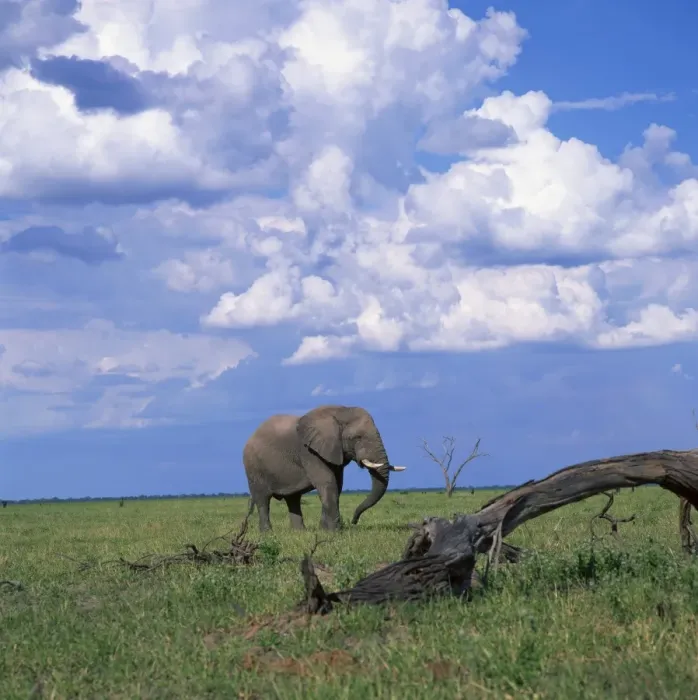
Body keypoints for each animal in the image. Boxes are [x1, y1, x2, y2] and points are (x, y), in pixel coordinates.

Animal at [242, 404, 406, 532]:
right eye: (357, 438)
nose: (353, 521)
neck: (339, 411)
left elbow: (337, 485)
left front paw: (324, 530)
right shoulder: (309, 452)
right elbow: (328, 483)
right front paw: (335, 532)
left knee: (293, 499)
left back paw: (300, 533)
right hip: (253, 467)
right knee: (263, 499)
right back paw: (267, 533)